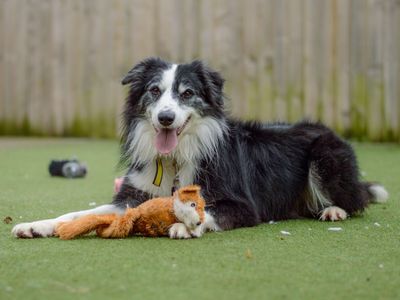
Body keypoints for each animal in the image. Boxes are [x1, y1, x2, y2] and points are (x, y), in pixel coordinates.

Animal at [11, 56, 388, 239]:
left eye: (188, 93)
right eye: (153, 90)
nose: (165, 118)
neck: (175, 158)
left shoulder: (244, 206)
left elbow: (208, 210)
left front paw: (186, 222)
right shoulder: (133, 196)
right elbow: (78, 214)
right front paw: (38, 225)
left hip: (326, 156)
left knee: (358, 199)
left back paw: (334, 210)